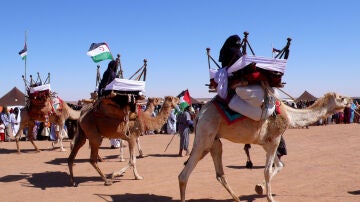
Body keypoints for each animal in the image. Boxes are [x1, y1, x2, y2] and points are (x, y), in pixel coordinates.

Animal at [179, 92, 350, 202]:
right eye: (341, 98)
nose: (350, 100)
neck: (290, 115)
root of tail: (199, 114)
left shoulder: (266, 143)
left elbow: (279, 165)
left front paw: (260, 187)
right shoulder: (275, 139)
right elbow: (268, 170)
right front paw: (270, 198)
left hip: (215, 140)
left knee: (219, 173)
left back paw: (237, 198)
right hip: (205, 136)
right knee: (184, 175)